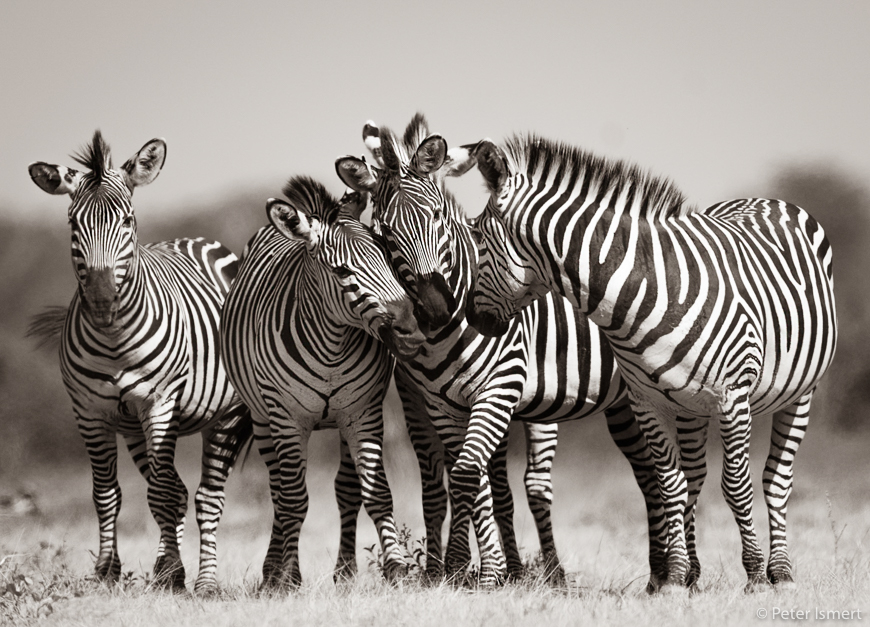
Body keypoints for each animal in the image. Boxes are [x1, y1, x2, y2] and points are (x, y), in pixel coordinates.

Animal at [26, 131, 254, 593]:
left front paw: (177, 574)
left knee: (206, 496)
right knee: (177, 491)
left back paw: (205, 581)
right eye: (73, 224)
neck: (114, 341)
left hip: (226, 415)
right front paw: (108, 571)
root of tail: (197, 240)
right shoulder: (89, 412)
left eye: (128, 222)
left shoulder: (159, 404)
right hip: (131, 426)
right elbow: (107, 493)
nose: (101, 302)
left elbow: (164, 494)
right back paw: (170, 567)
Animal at [219, 176, 426, 588]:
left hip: (344, 420)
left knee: (346, 489)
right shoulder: (287, 418)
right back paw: (273, 572)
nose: (410, 332)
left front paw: (397, 568)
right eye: (343, 272)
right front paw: (288, 577)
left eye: (387, 257)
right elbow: (294, 500)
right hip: (264, 420)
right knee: (280, 492)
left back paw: (343, 571)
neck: (332, 345)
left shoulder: (364, 411)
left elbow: (377, 493)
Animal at [336, 114, 665, 588]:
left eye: (438, 217)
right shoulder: (435, 404)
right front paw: (470, 570)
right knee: (643, 472)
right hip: (620, 403)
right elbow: (464, 483)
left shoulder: (499, 388)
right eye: (385, 232)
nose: (435, 310)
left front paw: (473, 570)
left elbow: (471, 477)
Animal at [457, 135, 838, 591]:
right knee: (694, 476)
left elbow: (736, 485)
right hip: (689, 403)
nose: (474, 321)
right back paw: (693, 571)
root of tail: (764, 199)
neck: (643, 291)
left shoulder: (733, 399)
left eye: (478, 240)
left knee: (776, 480)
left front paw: (754, 576)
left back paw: (779, 571)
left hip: (801, 392)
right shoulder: (647, 401)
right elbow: (670, 485)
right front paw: (673, 577)